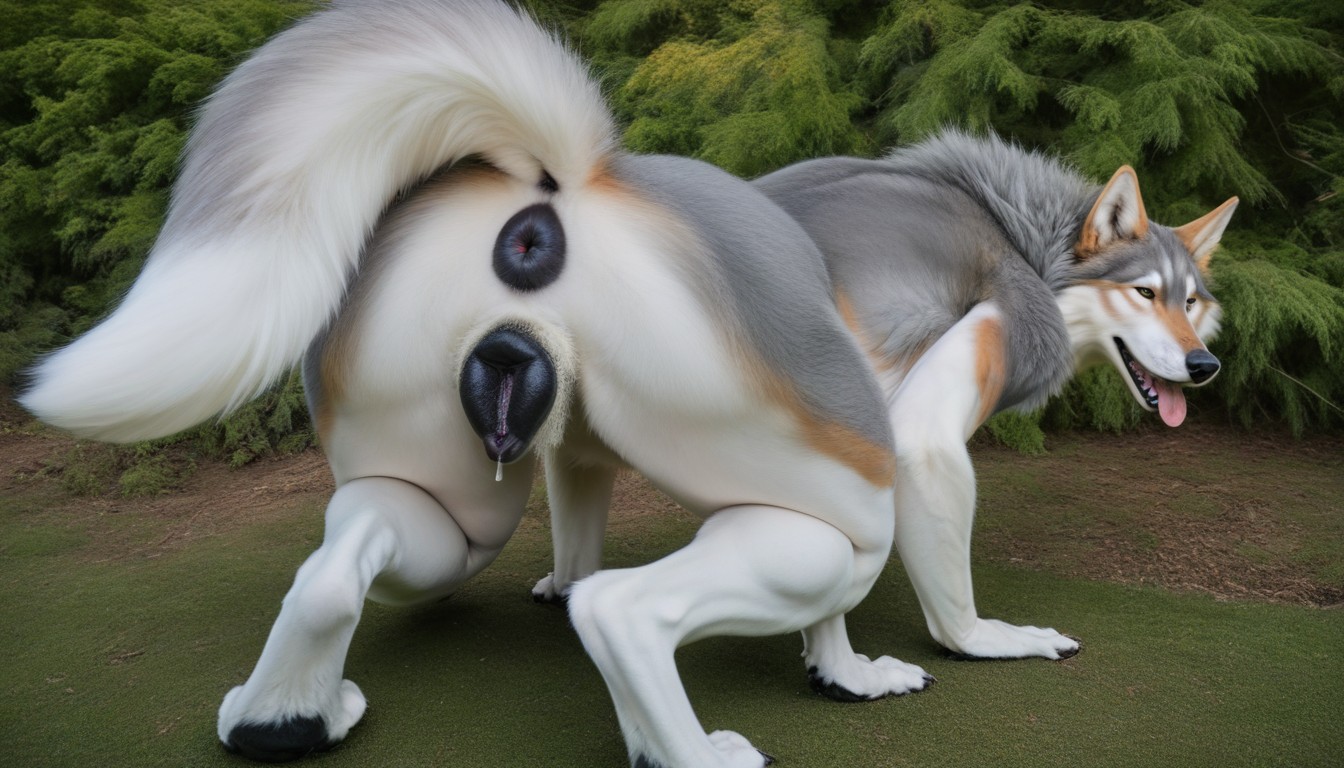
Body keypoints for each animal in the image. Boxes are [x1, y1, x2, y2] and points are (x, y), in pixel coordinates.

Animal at [19, 1, 929, 765]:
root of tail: (540, 218)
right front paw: (847, 674)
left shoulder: (574, 444)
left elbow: (576, 503)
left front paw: (560, 583)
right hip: (822, 479)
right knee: (670, 601)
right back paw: (693, 749)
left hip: (432, 463)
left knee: (350, 565)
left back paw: (282, 721)